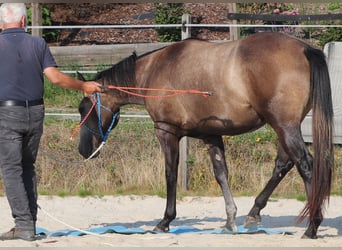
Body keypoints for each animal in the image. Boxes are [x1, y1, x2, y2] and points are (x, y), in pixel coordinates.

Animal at [76, 32, 332, 239]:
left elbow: (170, 175)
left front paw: (165, 221)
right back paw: (254, 213)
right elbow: (221, 174)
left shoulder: (167, 132)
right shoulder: (212, 135)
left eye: (83, 108)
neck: (155, 70)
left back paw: (312, 226)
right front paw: (230, 221)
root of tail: (304, 49)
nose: (83, 150)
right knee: (283, 164)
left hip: (284, 126)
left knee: (305, 165)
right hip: (285, 127)